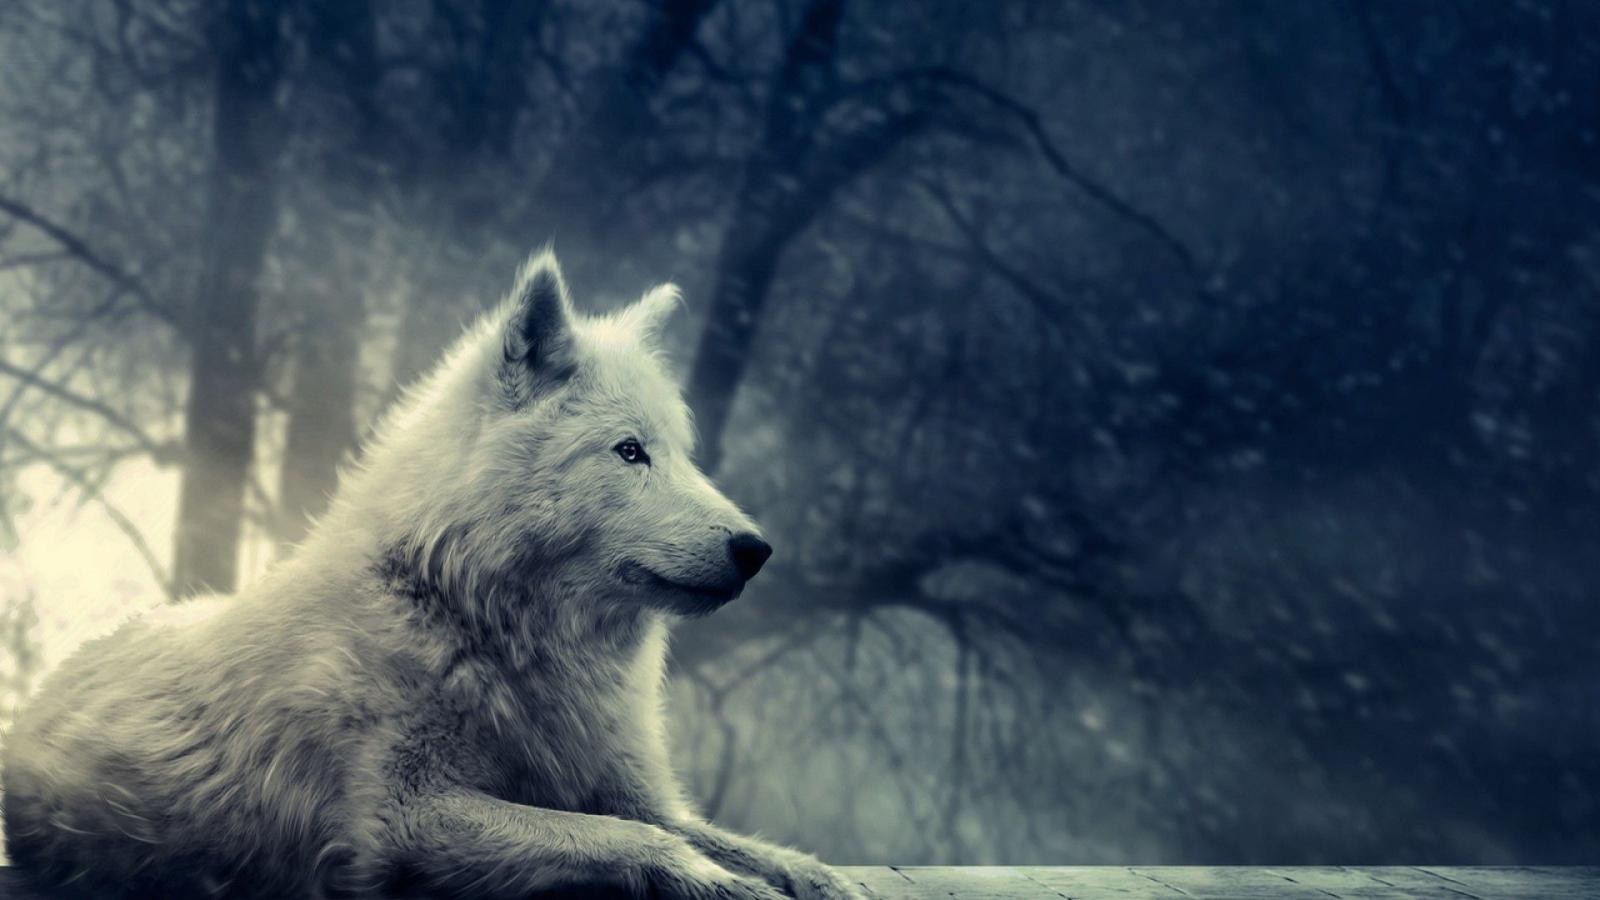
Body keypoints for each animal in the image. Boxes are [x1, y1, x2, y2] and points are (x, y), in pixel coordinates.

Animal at [2, 253, 862, 899]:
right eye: (629, 451)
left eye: (682, 453)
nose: (756, 548)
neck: (469, 616)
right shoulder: (404, 819)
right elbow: (629, 839)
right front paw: (721, 883)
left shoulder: (633, 789)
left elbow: (731, 841)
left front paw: (820, 878)